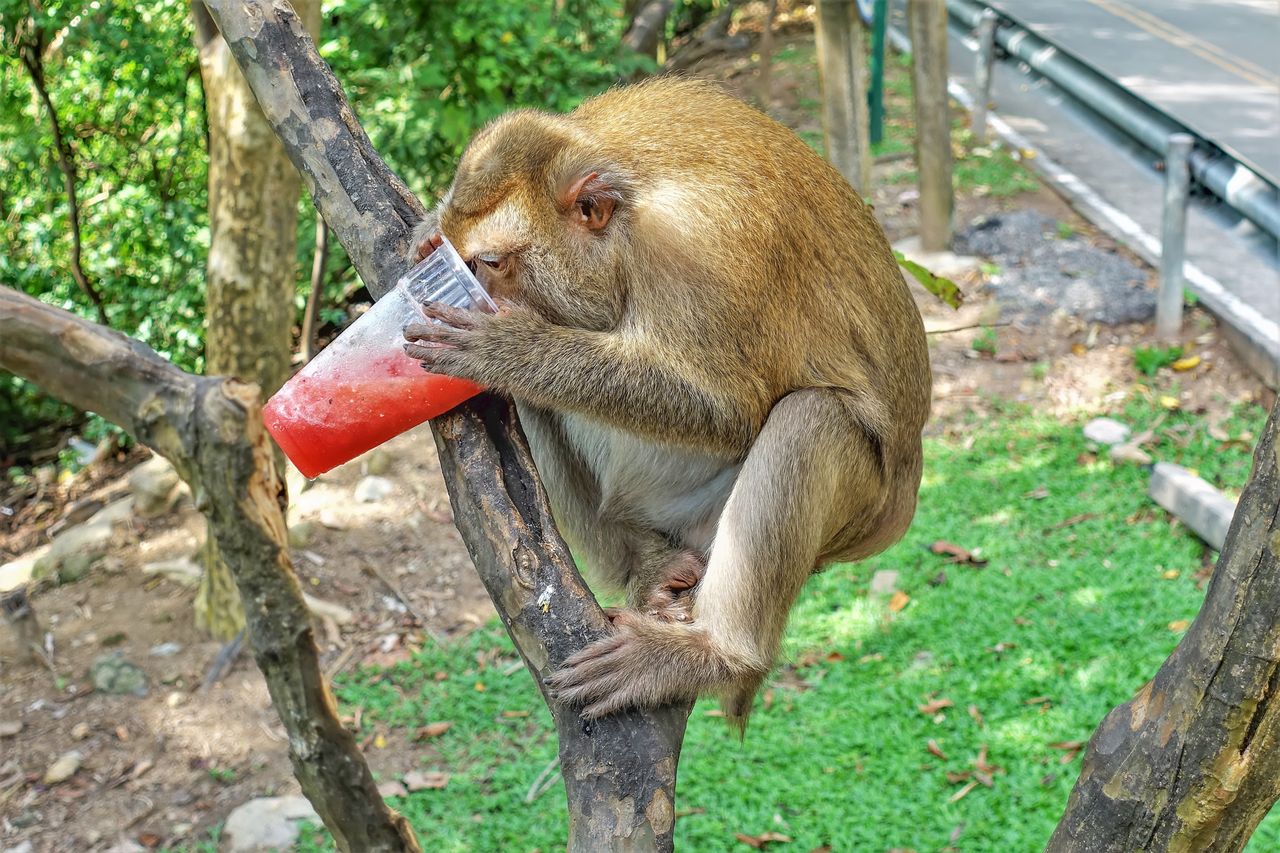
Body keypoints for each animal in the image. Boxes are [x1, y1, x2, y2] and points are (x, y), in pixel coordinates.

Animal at [404, 76, 936, 722]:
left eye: (491, 261)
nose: (472, 287)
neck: (628, 231)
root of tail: (901, 505)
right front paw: (428, 228)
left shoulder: (698, 243)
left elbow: (730, 407)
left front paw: (507, 349)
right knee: (537, 410)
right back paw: (650, 565)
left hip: (846, 510)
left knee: (811, 419)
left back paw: (716, 656)